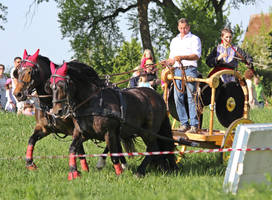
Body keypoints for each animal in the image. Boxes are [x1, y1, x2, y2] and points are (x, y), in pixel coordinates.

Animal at [49, 61, 178, 177]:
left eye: (62, 85)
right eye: (50, 86)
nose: (56, 112)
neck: (92, 103)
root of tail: (158, 98)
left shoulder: (109, 132)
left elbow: (114, 154)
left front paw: (119, 173)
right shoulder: (83, 133)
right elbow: (72, 149)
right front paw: (73, 172)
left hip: (148, 132)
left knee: (151, 147)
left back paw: (140, 171)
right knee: (156, 148)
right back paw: (163, 168)